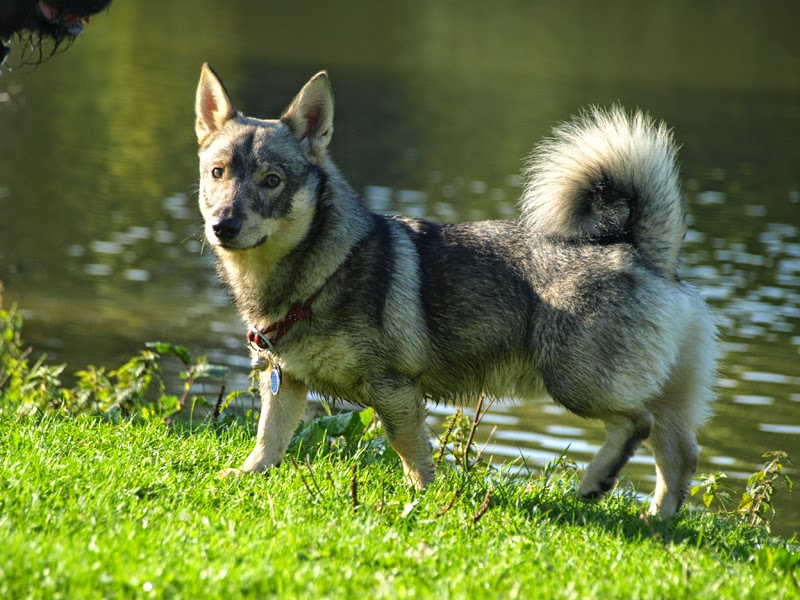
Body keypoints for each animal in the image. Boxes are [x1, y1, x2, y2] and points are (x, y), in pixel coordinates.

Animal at [195, 63, 720, 516]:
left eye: (272, 180)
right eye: (217, 173)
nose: (223, 225)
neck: (317, 273)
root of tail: (644, 250)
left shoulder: (394, 390)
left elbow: (411, 453)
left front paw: (424, 497)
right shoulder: (283, 382)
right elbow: (269, 439)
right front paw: (243, 475)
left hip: (576, 381)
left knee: (637, 425)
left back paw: (596, 481)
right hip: (655, 394)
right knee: (680, 456)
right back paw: (657, 520)